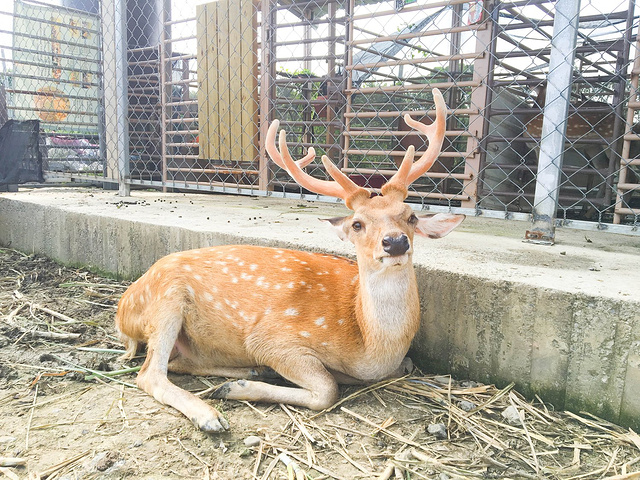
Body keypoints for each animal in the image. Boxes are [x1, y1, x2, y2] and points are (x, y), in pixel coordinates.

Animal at [116, 88, 464, 434]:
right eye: (357, 224)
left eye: (411, 216)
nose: (395, 242)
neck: (370, 348)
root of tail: (122, 311)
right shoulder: (273, 339)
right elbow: (326, 389)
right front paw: (237, 390)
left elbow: (407, 364)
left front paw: (243, 382)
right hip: (165, 301)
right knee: (150, 374)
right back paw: (211, 414)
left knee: (180, 363)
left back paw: (250, 374)